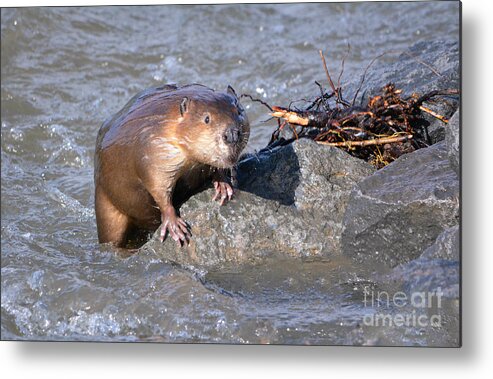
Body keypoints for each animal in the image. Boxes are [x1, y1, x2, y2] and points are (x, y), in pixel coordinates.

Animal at [94, 83, 250, 248]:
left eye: (239, 111)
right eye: (207, 118)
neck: (169, 122)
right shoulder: (153, 150)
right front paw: (176, 226)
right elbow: (158, 187)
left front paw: (223, 186)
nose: (232, 134)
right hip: (105, 206)